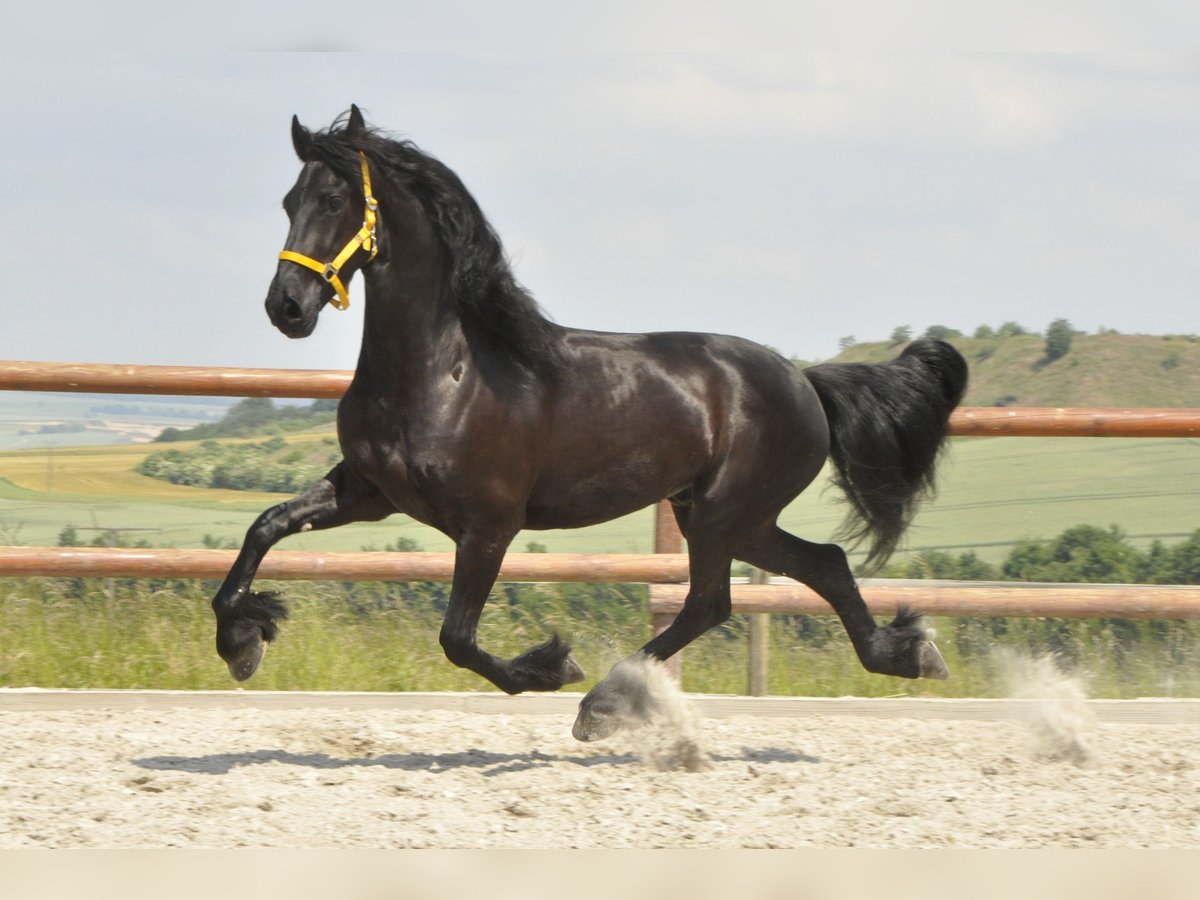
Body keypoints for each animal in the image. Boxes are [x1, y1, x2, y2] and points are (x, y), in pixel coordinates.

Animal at [211, 107, 969, 739]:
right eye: (289, 202)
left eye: (332, 200)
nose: (286, 307)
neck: (444, 372)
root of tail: (805, 381)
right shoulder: (369, 493)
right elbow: (265, 528)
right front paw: (242, 641)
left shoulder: (489, 525)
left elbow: (457, 639)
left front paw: (550, 666)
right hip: (727, 515)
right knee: (821, 566)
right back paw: (908, 653)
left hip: (726, 513)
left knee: (712, 601)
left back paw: (601, 704)